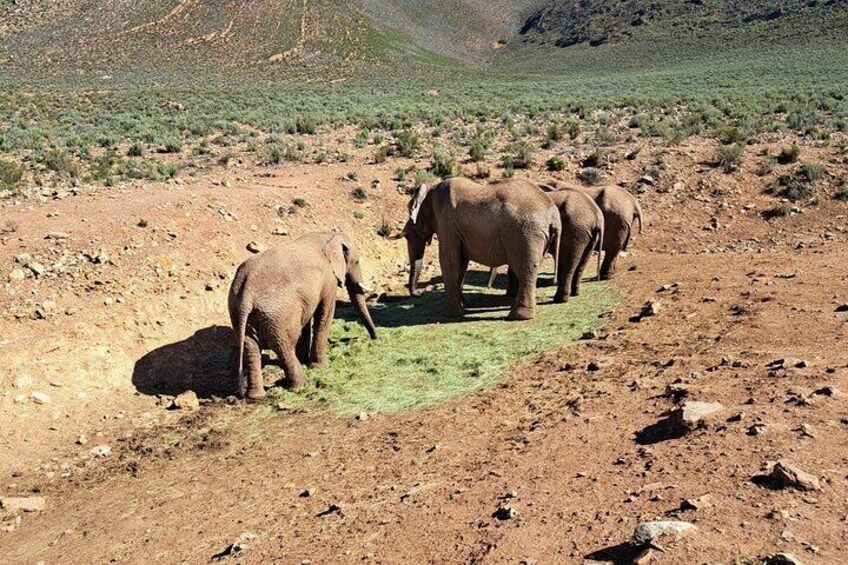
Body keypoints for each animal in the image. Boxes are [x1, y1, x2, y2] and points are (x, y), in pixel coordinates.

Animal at [230, 228, 380, 396]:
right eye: (357, 262)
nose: (375, 338)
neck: (328, 235)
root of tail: (247, 294)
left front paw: (305, 360)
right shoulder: (328, 280)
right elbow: (324, 314)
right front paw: (320, 367)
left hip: (239, 313)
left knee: (251, 348)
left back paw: (256, 396)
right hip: (277, 315)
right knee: (284, 346)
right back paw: (300, 385)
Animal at [398, 177, 564, 318]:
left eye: (409, 208)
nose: (420, 292)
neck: (432, 187)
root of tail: (553, 214)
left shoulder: (447, 223)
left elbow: (449, 260)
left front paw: (451, 314)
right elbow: (460, 263)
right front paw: (463, 307)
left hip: (526, 233)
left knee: (526, 270)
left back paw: (518, 316)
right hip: (538, 235)